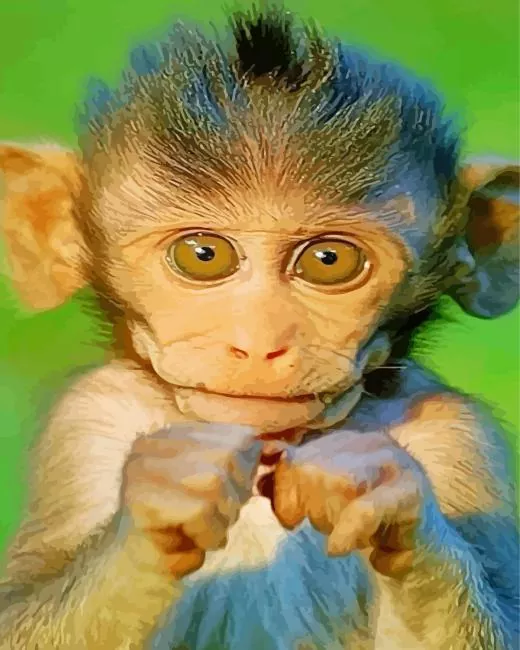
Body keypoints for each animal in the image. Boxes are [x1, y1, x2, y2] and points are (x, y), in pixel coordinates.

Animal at [0, 5, 518, 650]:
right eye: (203, 255)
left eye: (329, 260)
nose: (260, 344)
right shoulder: (85, 423)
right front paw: (162, 497)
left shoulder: (458, 437)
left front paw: (378, 488)